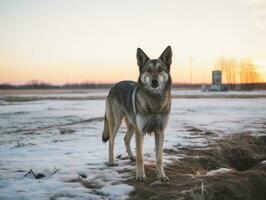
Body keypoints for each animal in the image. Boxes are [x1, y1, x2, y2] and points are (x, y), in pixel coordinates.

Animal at [102, 46, 172, 181]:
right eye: (148, 70)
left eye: (160, 69)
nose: (154, 81)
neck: (154, 101)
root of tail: (114, 86)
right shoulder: (141, 132)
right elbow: (141, 158)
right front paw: (140, 176)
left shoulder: (160, 132)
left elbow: (159, 158)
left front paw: (161, 175)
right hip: (117, 123)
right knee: (111, 141)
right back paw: (111, 161)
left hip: (132, 125)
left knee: (125, 139)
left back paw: (131, 157)